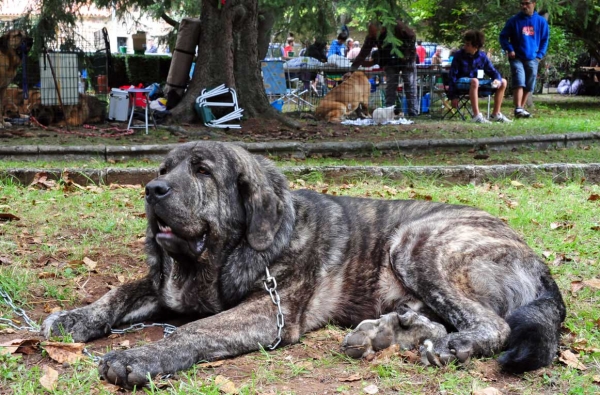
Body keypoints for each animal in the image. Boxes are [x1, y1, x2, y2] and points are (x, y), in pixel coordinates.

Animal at [42, 143, 568, 390]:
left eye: (202, 171)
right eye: (162, 170)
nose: (152, 191)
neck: (218, 259)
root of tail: (537, 260)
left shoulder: (268, 312)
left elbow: (196, 330)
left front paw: (142, 357)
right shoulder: (166, 288)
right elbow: (120, 292)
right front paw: (75, 318)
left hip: (418, 243)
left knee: (492, 324)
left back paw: (452, 346)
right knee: (434, 318)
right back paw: (385, 333)